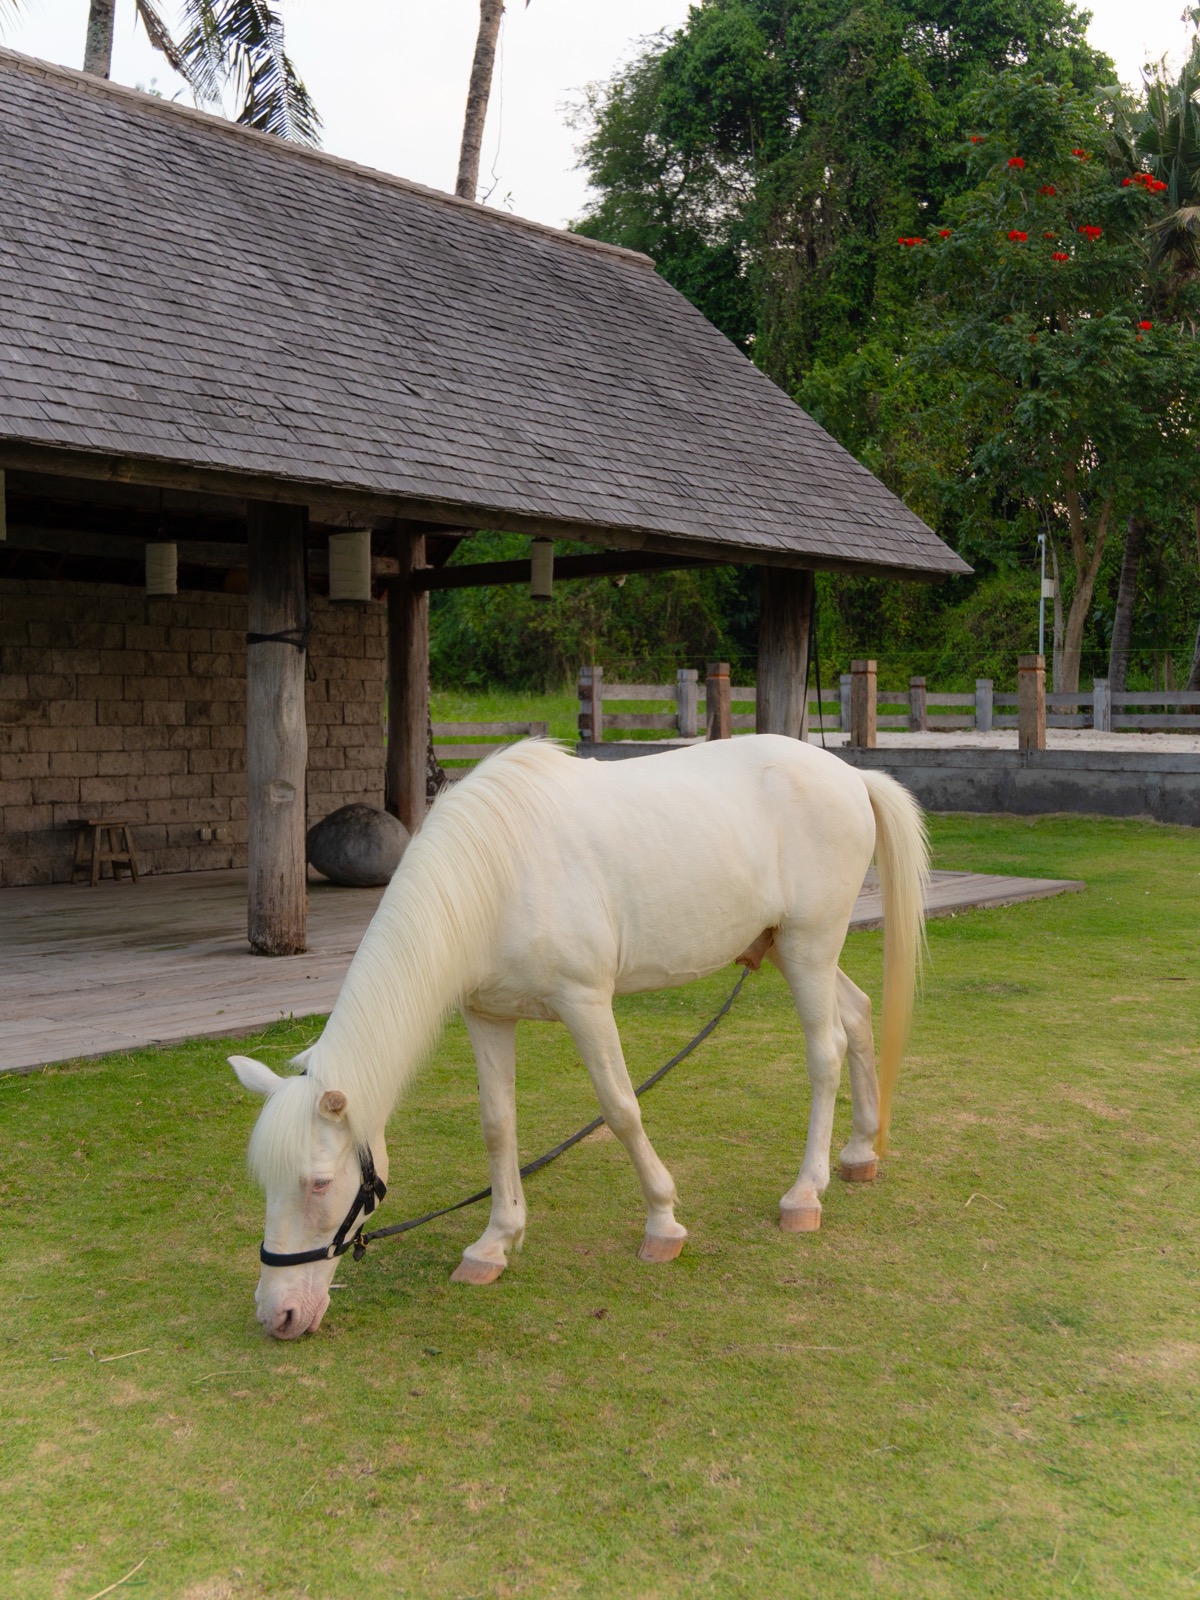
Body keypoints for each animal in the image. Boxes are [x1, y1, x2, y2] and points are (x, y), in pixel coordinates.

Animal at [230, 735, 928, 1340]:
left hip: (810, 946)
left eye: (320, 1183)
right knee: (858, 1018)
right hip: (788, 948)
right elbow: (497, 1125)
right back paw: (860, 1153)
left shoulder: (586, 1003)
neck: (496, 873)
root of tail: (850, 776)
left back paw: (805, 1194)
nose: (278, 1315)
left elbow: (620, 1108)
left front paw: (663, 1223)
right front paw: (494, 1243)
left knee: (825, 1053)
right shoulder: (487, 1017)